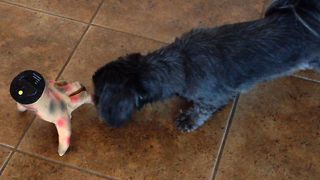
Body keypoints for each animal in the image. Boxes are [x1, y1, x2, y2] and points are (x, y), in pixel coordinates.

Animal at [92, 0, 320, 132]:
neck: (181, 63)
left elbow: (201, 111)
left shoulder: (212, 97)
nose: (92, 98)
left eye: (98, 92)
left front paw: (189, 120)